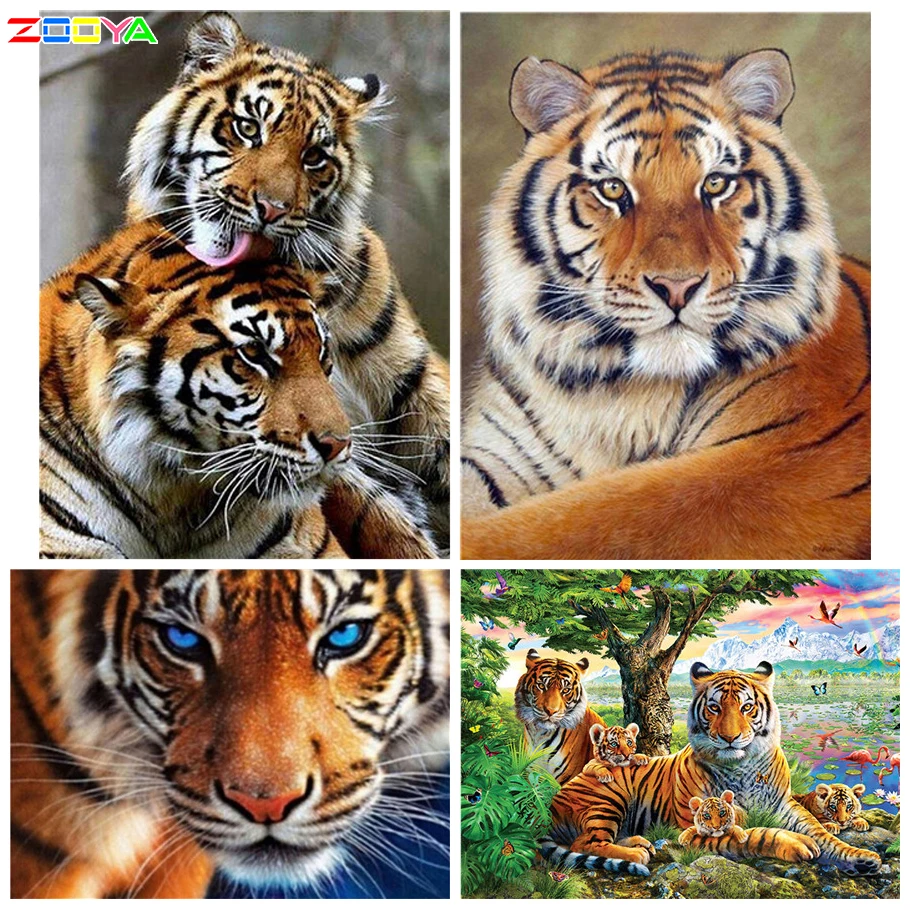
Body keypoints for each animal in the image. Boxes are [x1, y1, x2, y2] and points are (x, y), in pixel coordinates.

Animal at [461, 49, 870, 559]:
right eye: (613, 189)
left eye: (715, 184)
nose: (677, 287)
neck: (615, 393)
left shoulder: (780, 460)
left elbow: (578, 522)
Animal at [543, 661, 882, 877]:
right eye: (714, 707)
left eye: (747, 707)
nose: (729, 737)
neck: (742, 768)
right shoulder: (692, 830)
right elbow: (755, 835)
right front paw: (796, 844)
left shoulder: (785, 806)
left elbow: (822, 833)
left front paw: (862, 859)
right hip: (607, 798)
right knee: (585, 842)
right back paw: (637, 853)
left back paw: (639, 842)